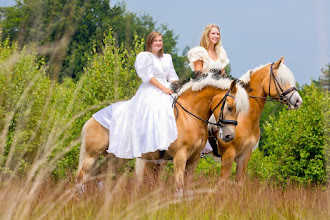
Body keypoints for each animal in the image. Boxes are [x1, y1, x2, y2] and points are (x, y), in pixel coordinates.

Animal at [76, 73, 248, 192]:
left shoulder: (193, 160)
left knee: (98, 176)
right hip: (92, 155)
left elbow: (188, 188)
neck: (189, 116)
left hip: (116, 157)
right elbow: (179, 186)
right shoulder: (180, 157)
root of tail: (92, 119)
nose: (229, 136)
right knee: (81, 177)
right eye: (230, 107)